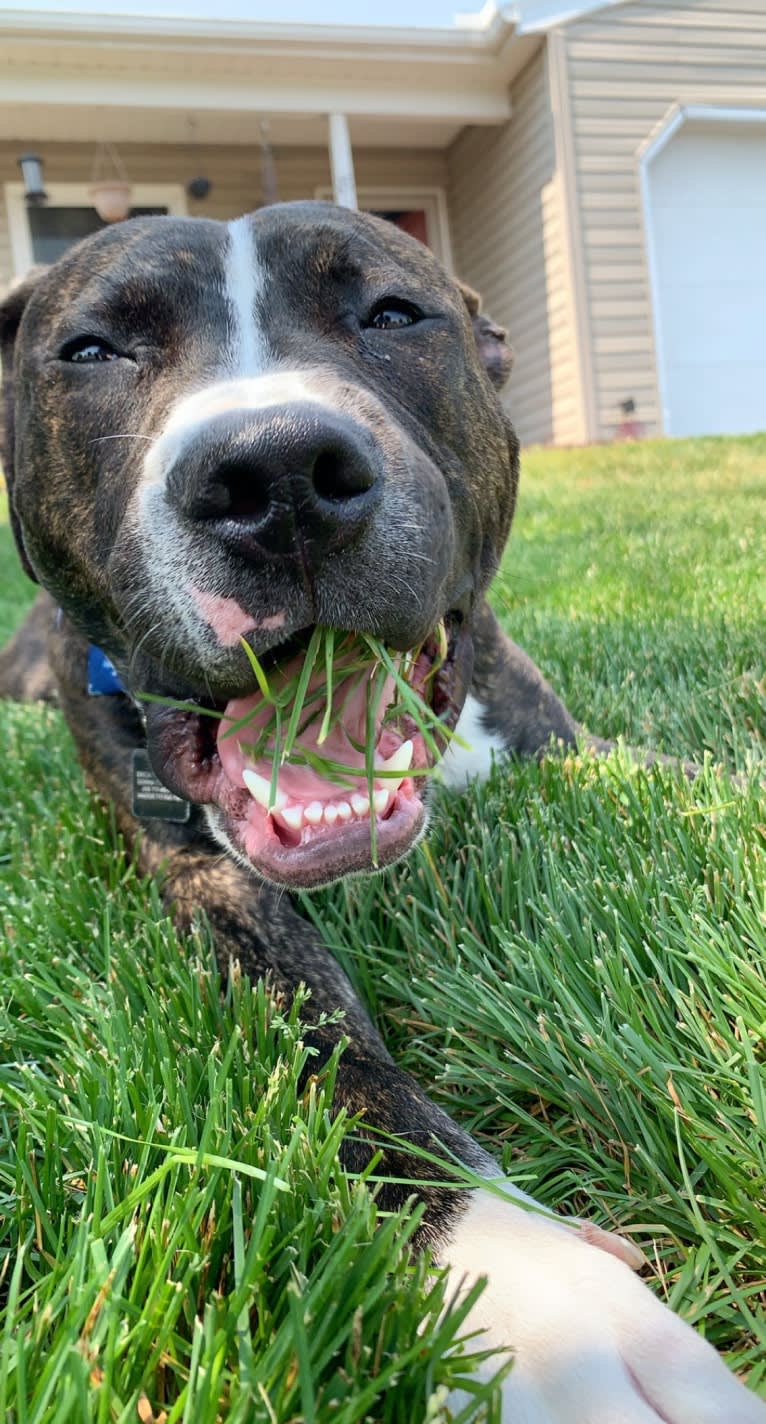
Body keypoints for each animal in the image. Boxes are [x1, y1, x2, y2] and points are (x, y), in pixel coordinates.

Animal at [0, 203, 757, 1424]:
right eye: (92, 349)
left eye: (395, 315)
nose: (275, 471)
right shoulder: (208, 889)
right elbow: (331, 1053)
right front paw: (536, 1290)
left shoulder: (572, 743)